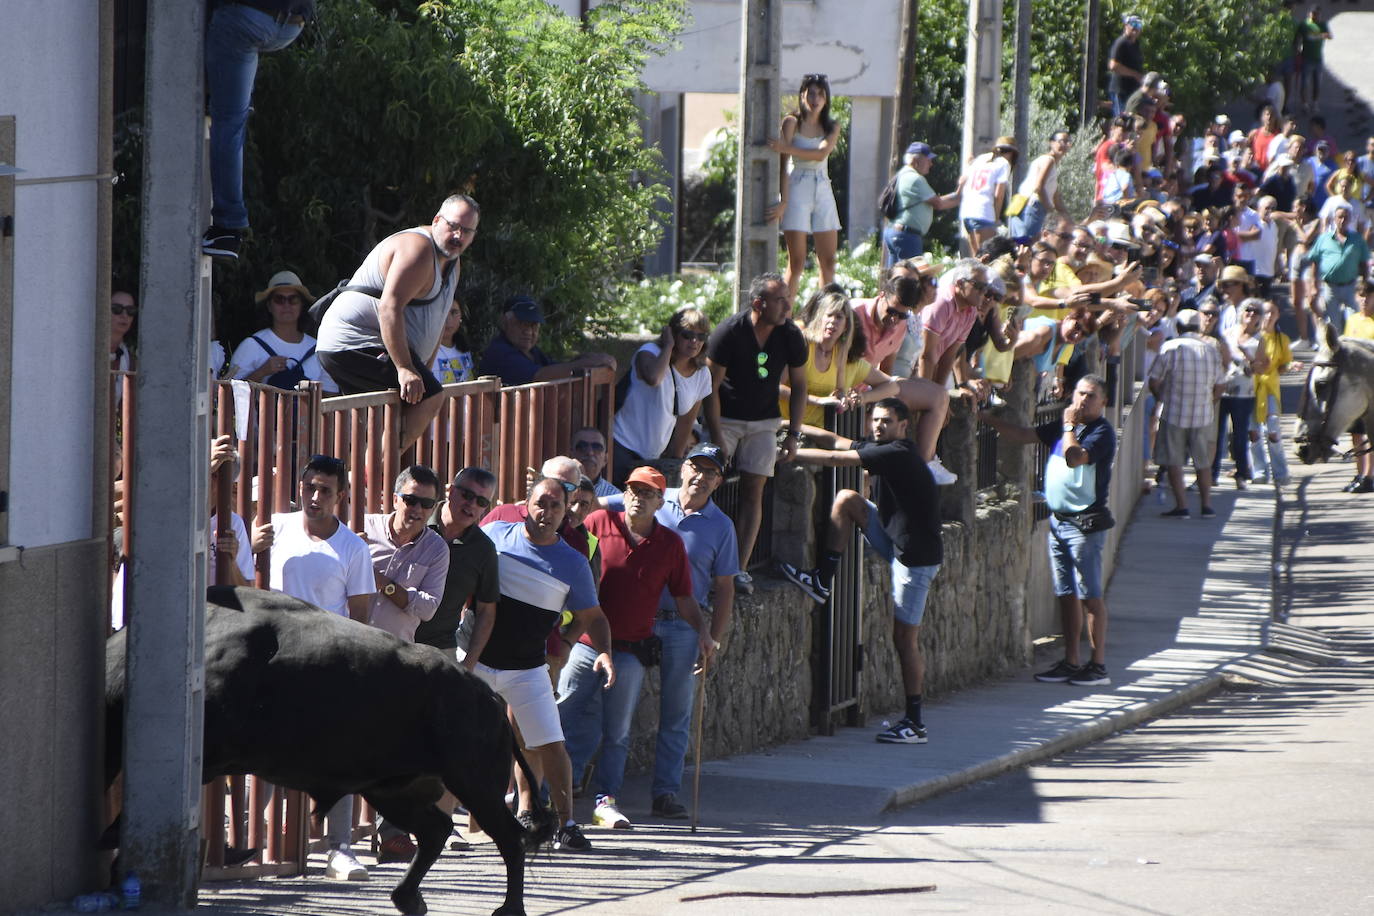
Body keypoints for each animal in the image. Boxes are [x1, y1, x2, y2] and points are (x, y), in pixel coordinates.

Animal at [103, 585, 552, 911]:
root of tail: (489, 697)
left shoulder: (207, 761)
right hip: (390, 790)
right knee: (436, 830)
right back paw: (407, 899)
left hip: (474, 786)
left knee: (509, 838)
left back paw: (507, 910)